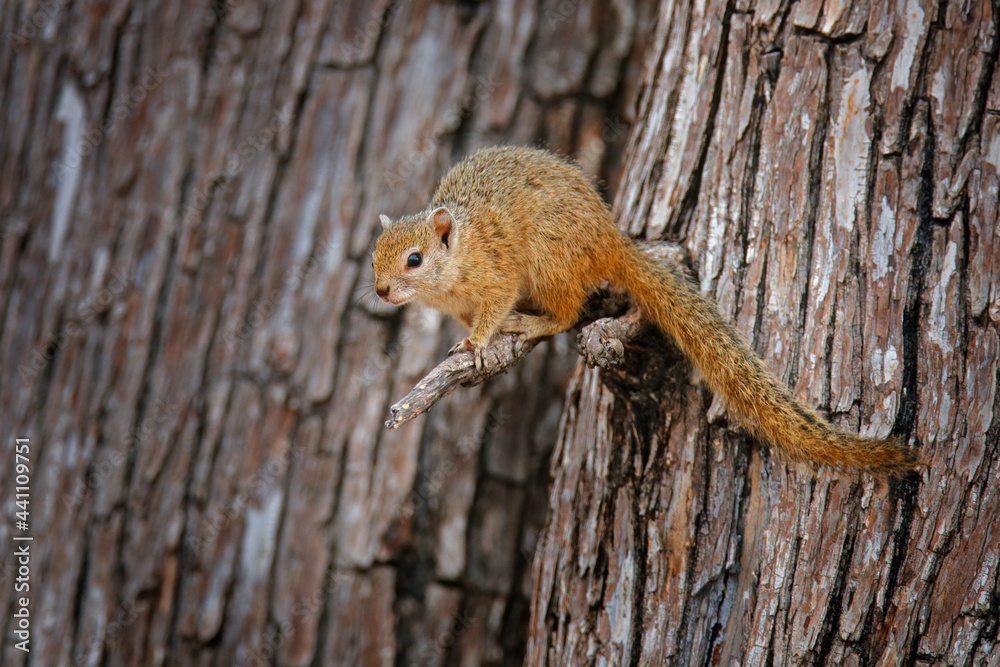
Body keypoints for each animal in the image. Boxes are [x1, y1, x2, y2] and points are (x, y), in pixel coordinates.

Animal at [372, 145, 921, 477]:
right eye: (375, 253)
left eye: (414, 259)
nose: (380, 291)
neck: (454, 269)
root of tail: (610, 241)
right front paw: (467, 340)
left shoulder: (497, 276)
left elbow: (491, 313)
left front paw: (478, 345)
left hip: (550, 261)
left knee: (568, 312)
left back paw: (533, 320)